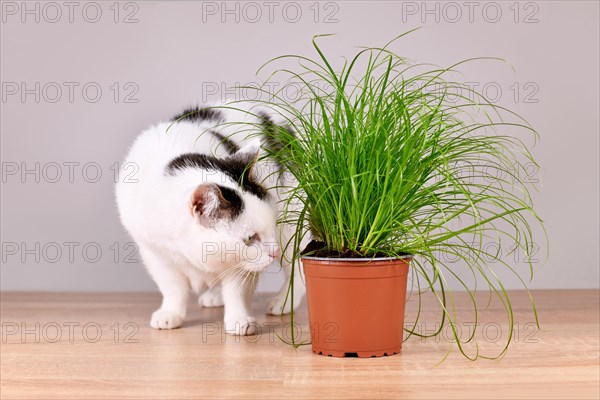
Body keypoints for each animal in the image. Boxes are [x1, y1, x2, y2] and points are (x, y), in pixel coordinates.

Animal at [115, 103, 308, 334]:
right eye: (250, 238)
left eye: (271, 228)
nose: (274, 252)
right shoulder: (154, 252)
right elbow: (172, 287)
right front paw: (171, 313)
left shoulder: (243, 264)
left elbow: (237, 289)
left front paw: (239, 319)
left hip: (292, 224)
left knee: (298, 268)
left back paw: (283, 301)